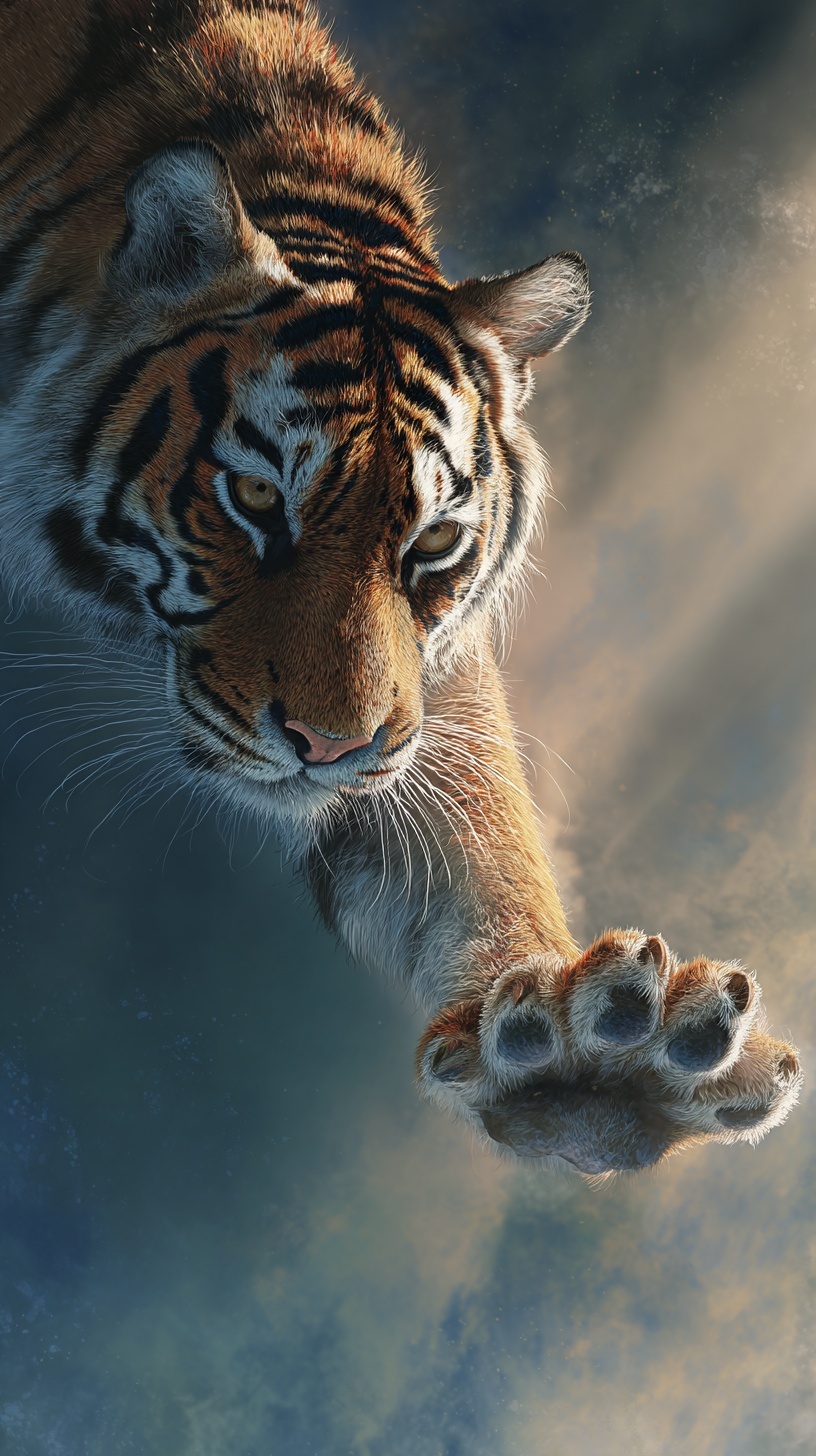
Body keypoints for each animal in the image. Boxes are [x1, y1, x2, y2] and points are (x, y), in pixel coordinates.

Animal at [0, 0, 801, 1175]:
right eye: (254, 496)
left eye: (433, 543)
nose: (335, 748)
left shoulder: (425, 693)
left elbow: (474, 832)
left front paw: (592, 1050)